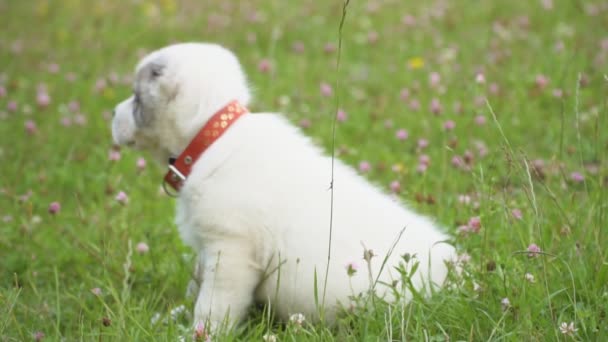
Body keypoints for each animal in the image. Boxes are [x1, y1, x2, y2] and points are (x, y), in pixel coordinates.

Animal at [113, 42, 456, 328]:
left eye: (135, 97)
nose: (112, 113)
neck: (211, 139)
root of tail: (455, 276)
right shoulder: (210, 250)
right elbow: (195, 288)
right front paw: (170, 318)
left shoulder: (230, 251)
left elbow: (212, 305)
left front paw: (198, 333)